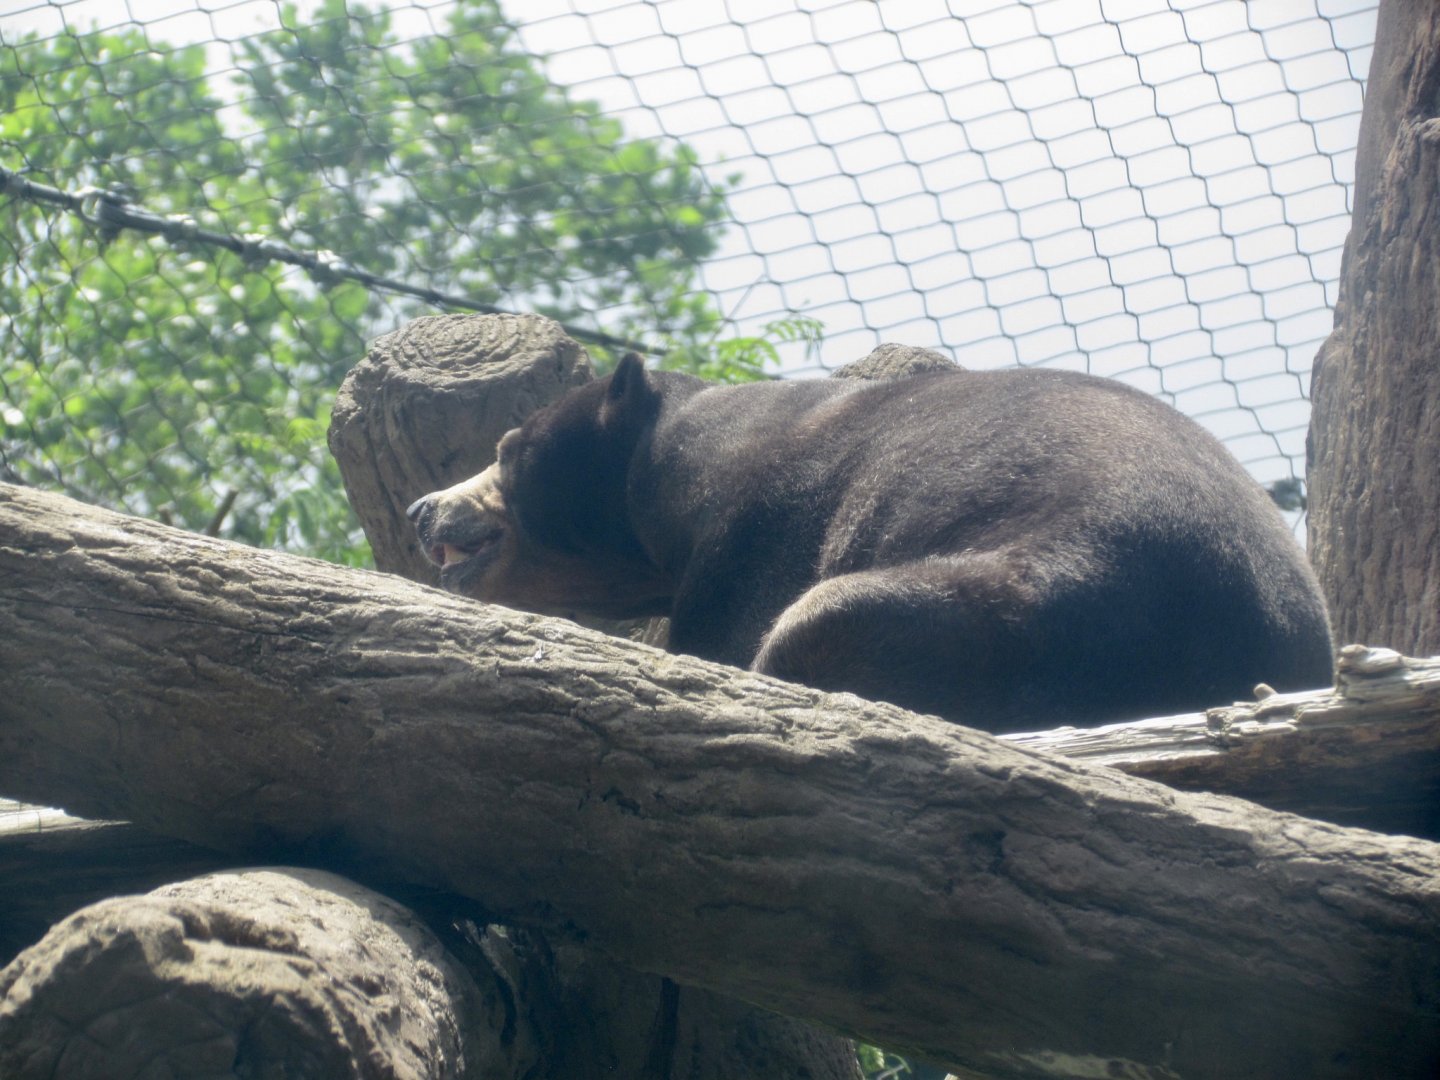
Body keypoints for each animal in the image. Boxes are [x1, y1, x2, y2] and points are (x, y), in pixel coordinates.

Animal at [406, 352, 1333, 733]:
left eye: (507, 452)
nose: (422, 510)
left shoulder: (756, 536)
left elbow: (726, 637)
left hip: (1009, 608)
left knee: (821, 623)